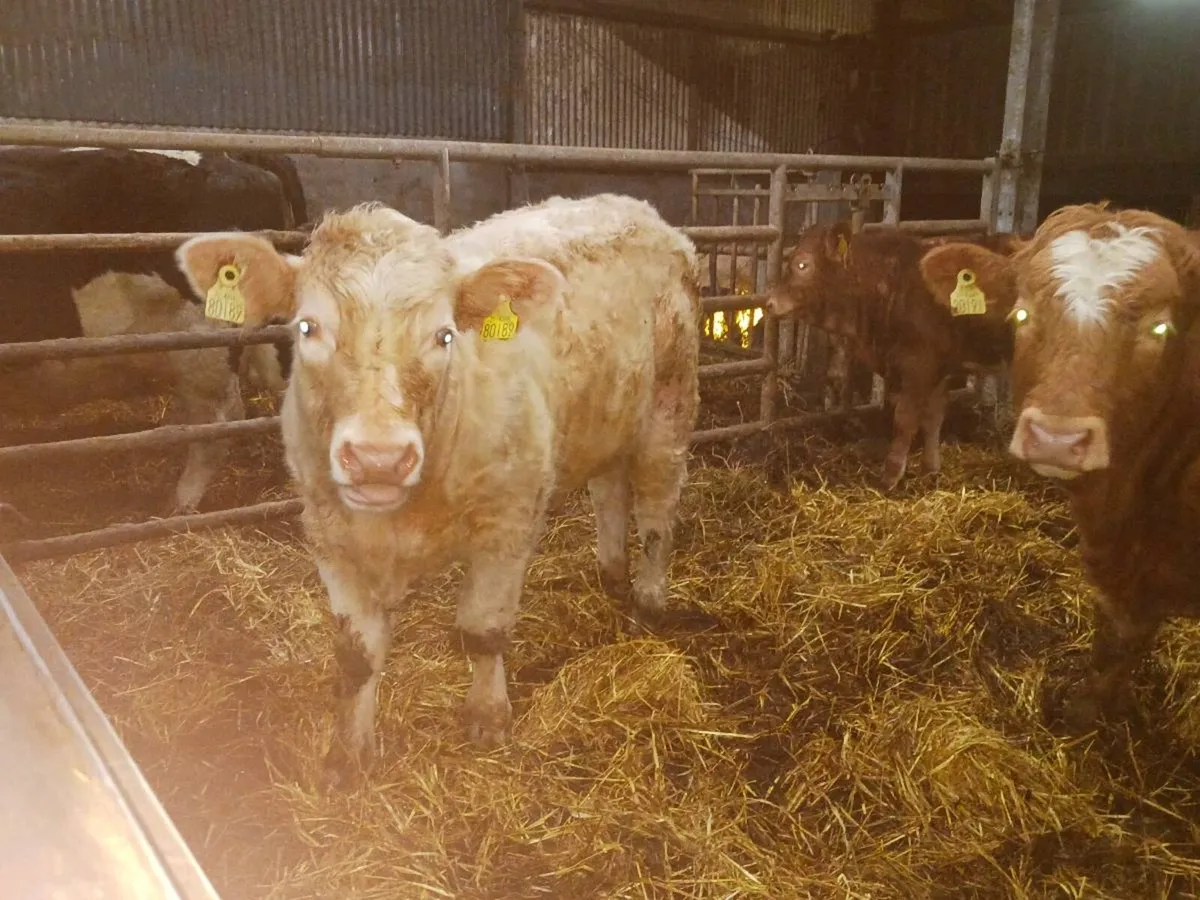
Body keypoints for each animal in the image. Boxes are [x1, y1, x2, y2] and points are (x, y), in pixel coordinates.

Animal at [174, 194, 701, 782]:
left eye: (444, 335)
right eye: (308, 327)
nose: (378, 459)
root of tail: (636, 208)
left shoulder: (508, 521)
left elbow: (483, 630)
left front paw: (487, 718)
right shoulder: (329, 537)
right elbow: (356, 656)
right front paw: (347, 753)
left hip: (670, 408)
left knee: (657, 512)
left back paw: (650, 599)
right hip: (608, 419)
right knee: (610, 492)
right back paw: (611, 574)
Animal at [765, 221, 1021, 489]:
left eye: (802, 265)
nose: (770, 302)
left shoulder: (919, 366)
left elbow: (905, 419)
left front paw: (890, 476)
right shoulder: (939, 367)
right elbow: (933, 417)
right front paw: (930, 468)